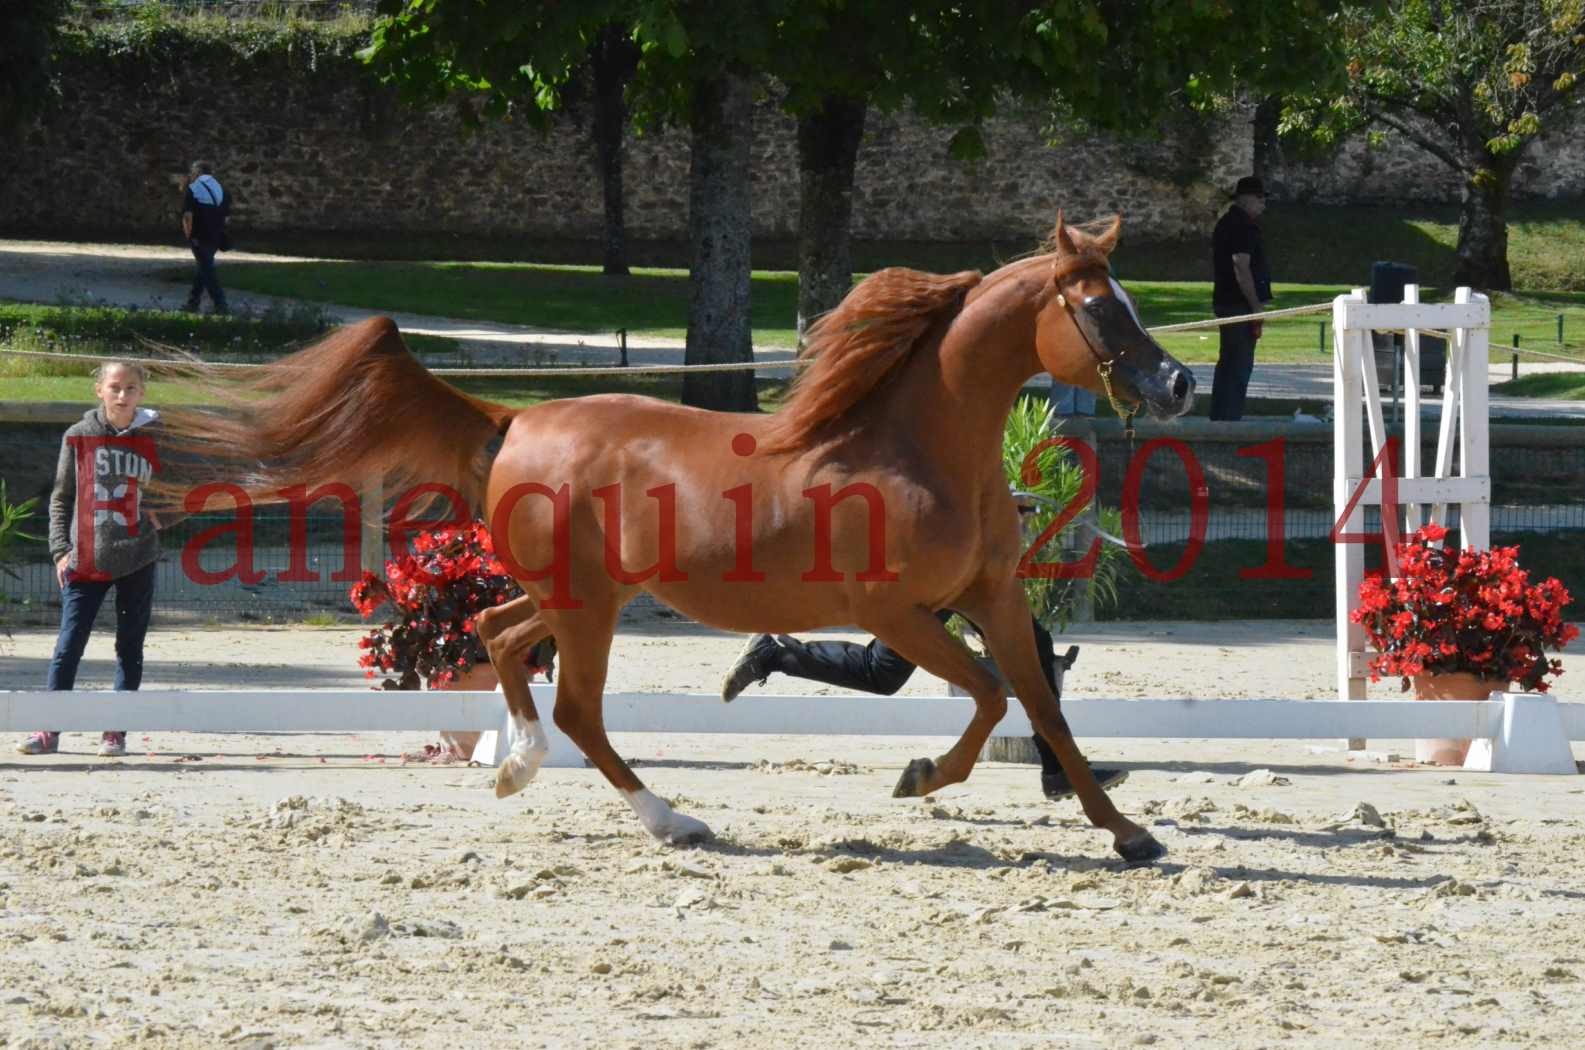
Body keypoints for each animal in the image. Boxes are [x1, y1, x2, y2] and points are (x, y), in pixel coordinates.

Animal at [167, 212, 1191, 862]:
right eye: (1101, 307)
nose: (1177, 384)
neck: (917, 448)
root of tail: (515, 418)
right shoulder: (896, 615)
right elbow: (986, 697)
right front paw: (918, 776)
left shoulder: (992, 598)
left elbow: (1043, 707)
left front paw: (1130, 835)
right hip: (588, 607)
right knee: (578, 708)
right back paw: (671, 822)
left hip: (577, 595)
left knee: (496, 634)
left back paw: (517, 769)